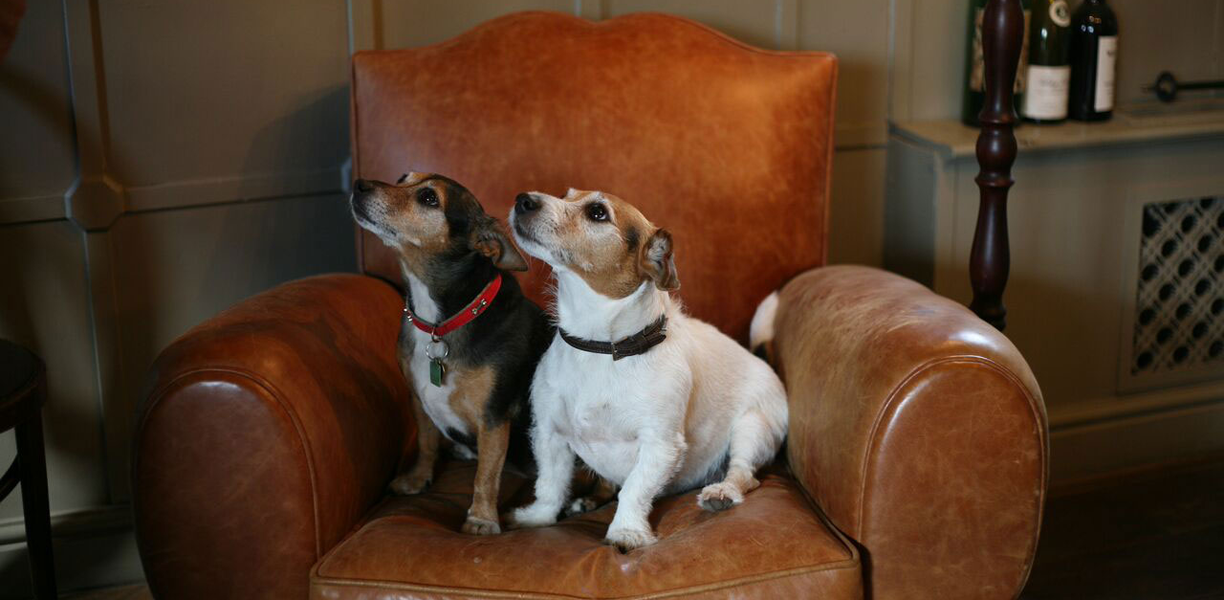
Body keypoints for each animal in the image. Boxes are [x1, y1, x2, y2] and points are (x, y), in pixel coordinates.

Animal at [350, 172, 550, 533]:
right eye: (402, 179)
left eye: (429, 198)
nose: (358, 184)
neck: (439, 322)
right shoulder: (417, 398)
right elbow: (426, 443)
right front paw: (417, 479)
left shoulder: (494, 417)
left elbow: (486, 475)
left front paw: (481, 519)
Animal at [509, 189, 788, 551]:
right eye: (566, 195)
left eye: (597, 213)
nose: (523, 199)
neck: (602, 348)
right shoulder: (549, 434)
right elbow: (550, 484)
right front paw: (537, 518)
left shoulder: (661, 445)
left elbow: (634, 489)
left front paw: (626, 530)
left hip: (753, 428)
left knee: (744, 474)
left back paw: (722, 492)